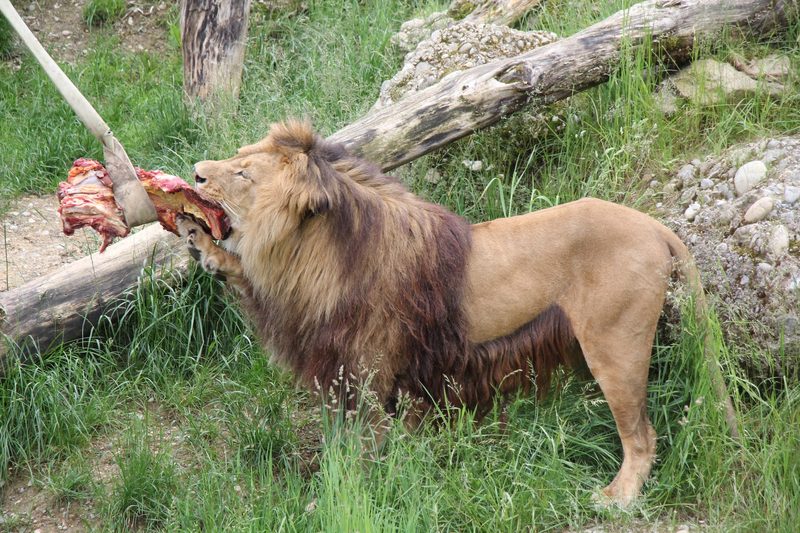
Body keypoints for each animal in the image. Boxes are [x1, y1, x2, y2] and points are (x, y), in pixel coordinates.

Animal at [176, 119, 734, 507]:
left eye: (243, 173)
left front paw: (342, 496)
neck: (310, 256)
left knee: (642, 435)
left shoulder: (366, 369)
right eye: (239, 157)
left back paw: (618, 498)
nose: (196, 172)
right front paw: (202, 243)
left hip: (616, 346)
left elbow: (360, 449)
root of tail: (654, 226)